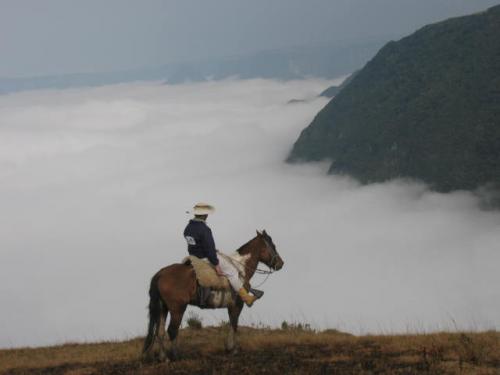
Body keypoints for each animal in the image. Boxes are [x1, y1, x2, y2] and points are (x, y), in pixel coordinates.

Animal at [143, 229, 284, 362]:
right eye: (272, 245)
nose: (281, 264)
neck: (239, 268)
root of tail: (161, 273)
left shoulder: (230, 306)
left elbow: (231, 323)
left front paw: (229, 348)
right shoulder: (237, 304)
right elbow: (234, 324)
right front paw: (233, 349)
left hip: (163, 308)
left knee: (160, 332)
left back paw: (164, 358)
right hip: (177, 308)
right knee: (172, 330)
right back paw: (175, 356)